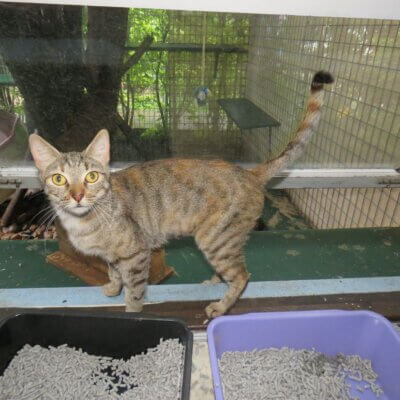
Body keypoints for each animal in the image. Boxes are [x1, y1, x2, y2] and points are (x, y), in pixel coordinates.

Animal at [29, 70, 332, 318]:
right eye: (59, 179)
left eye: (91, 176)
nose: (78, 195)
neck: (84, 221)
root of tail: (250, 173)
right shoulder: (113, 257)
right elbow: (114, 274)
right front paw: (112, 288)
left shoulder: (137, 254)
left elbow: (134, 292)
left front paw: (130, 312)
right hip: (224, 243)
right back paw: (214, 281)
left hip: (215, 239)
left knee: (242, 276)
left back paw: (220, 306)